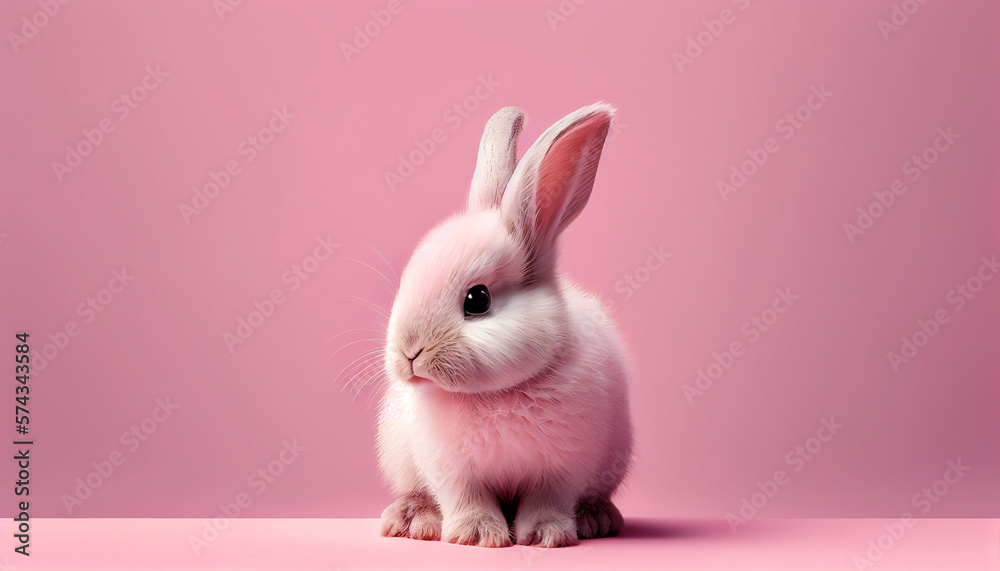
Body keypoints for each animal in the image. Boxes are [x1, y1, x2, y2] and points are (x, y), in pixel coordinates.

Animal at [376, 103, 633, 548]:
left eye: (477, 300)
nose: (408, 353)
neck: (498, 394)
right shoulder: (453, 470)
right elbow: (467, 498)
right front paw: (478, 536)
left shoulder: (562, 468)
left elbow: (548, 500)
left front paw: (546, 535)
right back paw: (414, 521)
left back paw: (596, 519)